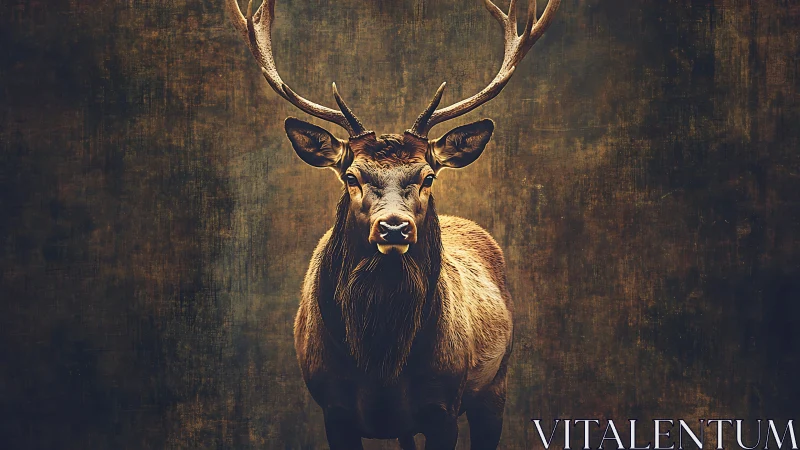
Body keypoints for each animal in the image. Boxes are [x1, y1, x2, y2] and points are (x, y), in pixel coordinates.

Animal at [226, 0, 560, 448]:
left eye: (428, 176)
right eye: (351, 176)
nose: (395, 228)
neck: (380, 364)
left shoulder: (443, 406)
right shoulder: (334, 408)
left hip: (497, 383)